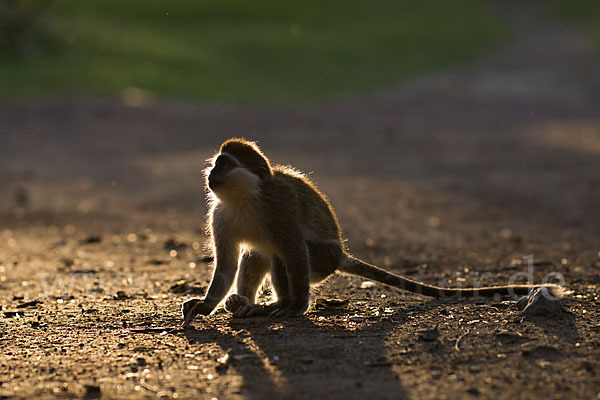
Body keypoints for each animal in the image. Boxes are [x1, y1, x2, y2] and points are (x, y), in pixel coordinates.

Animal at [180, 139, 560, 326]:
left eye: (225, 164)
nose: (211, 173)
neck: (247, 199)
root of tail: (341, 255)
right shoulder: (220, 215)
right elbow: (227, 264)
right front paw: (206, 304)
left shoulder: (279, 207)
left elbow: (294, 251)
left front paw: (296, 307)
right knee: (260, 253)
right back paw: (244, 303)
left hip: (324, 260)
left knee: (286, 256)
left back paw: (280, 304)